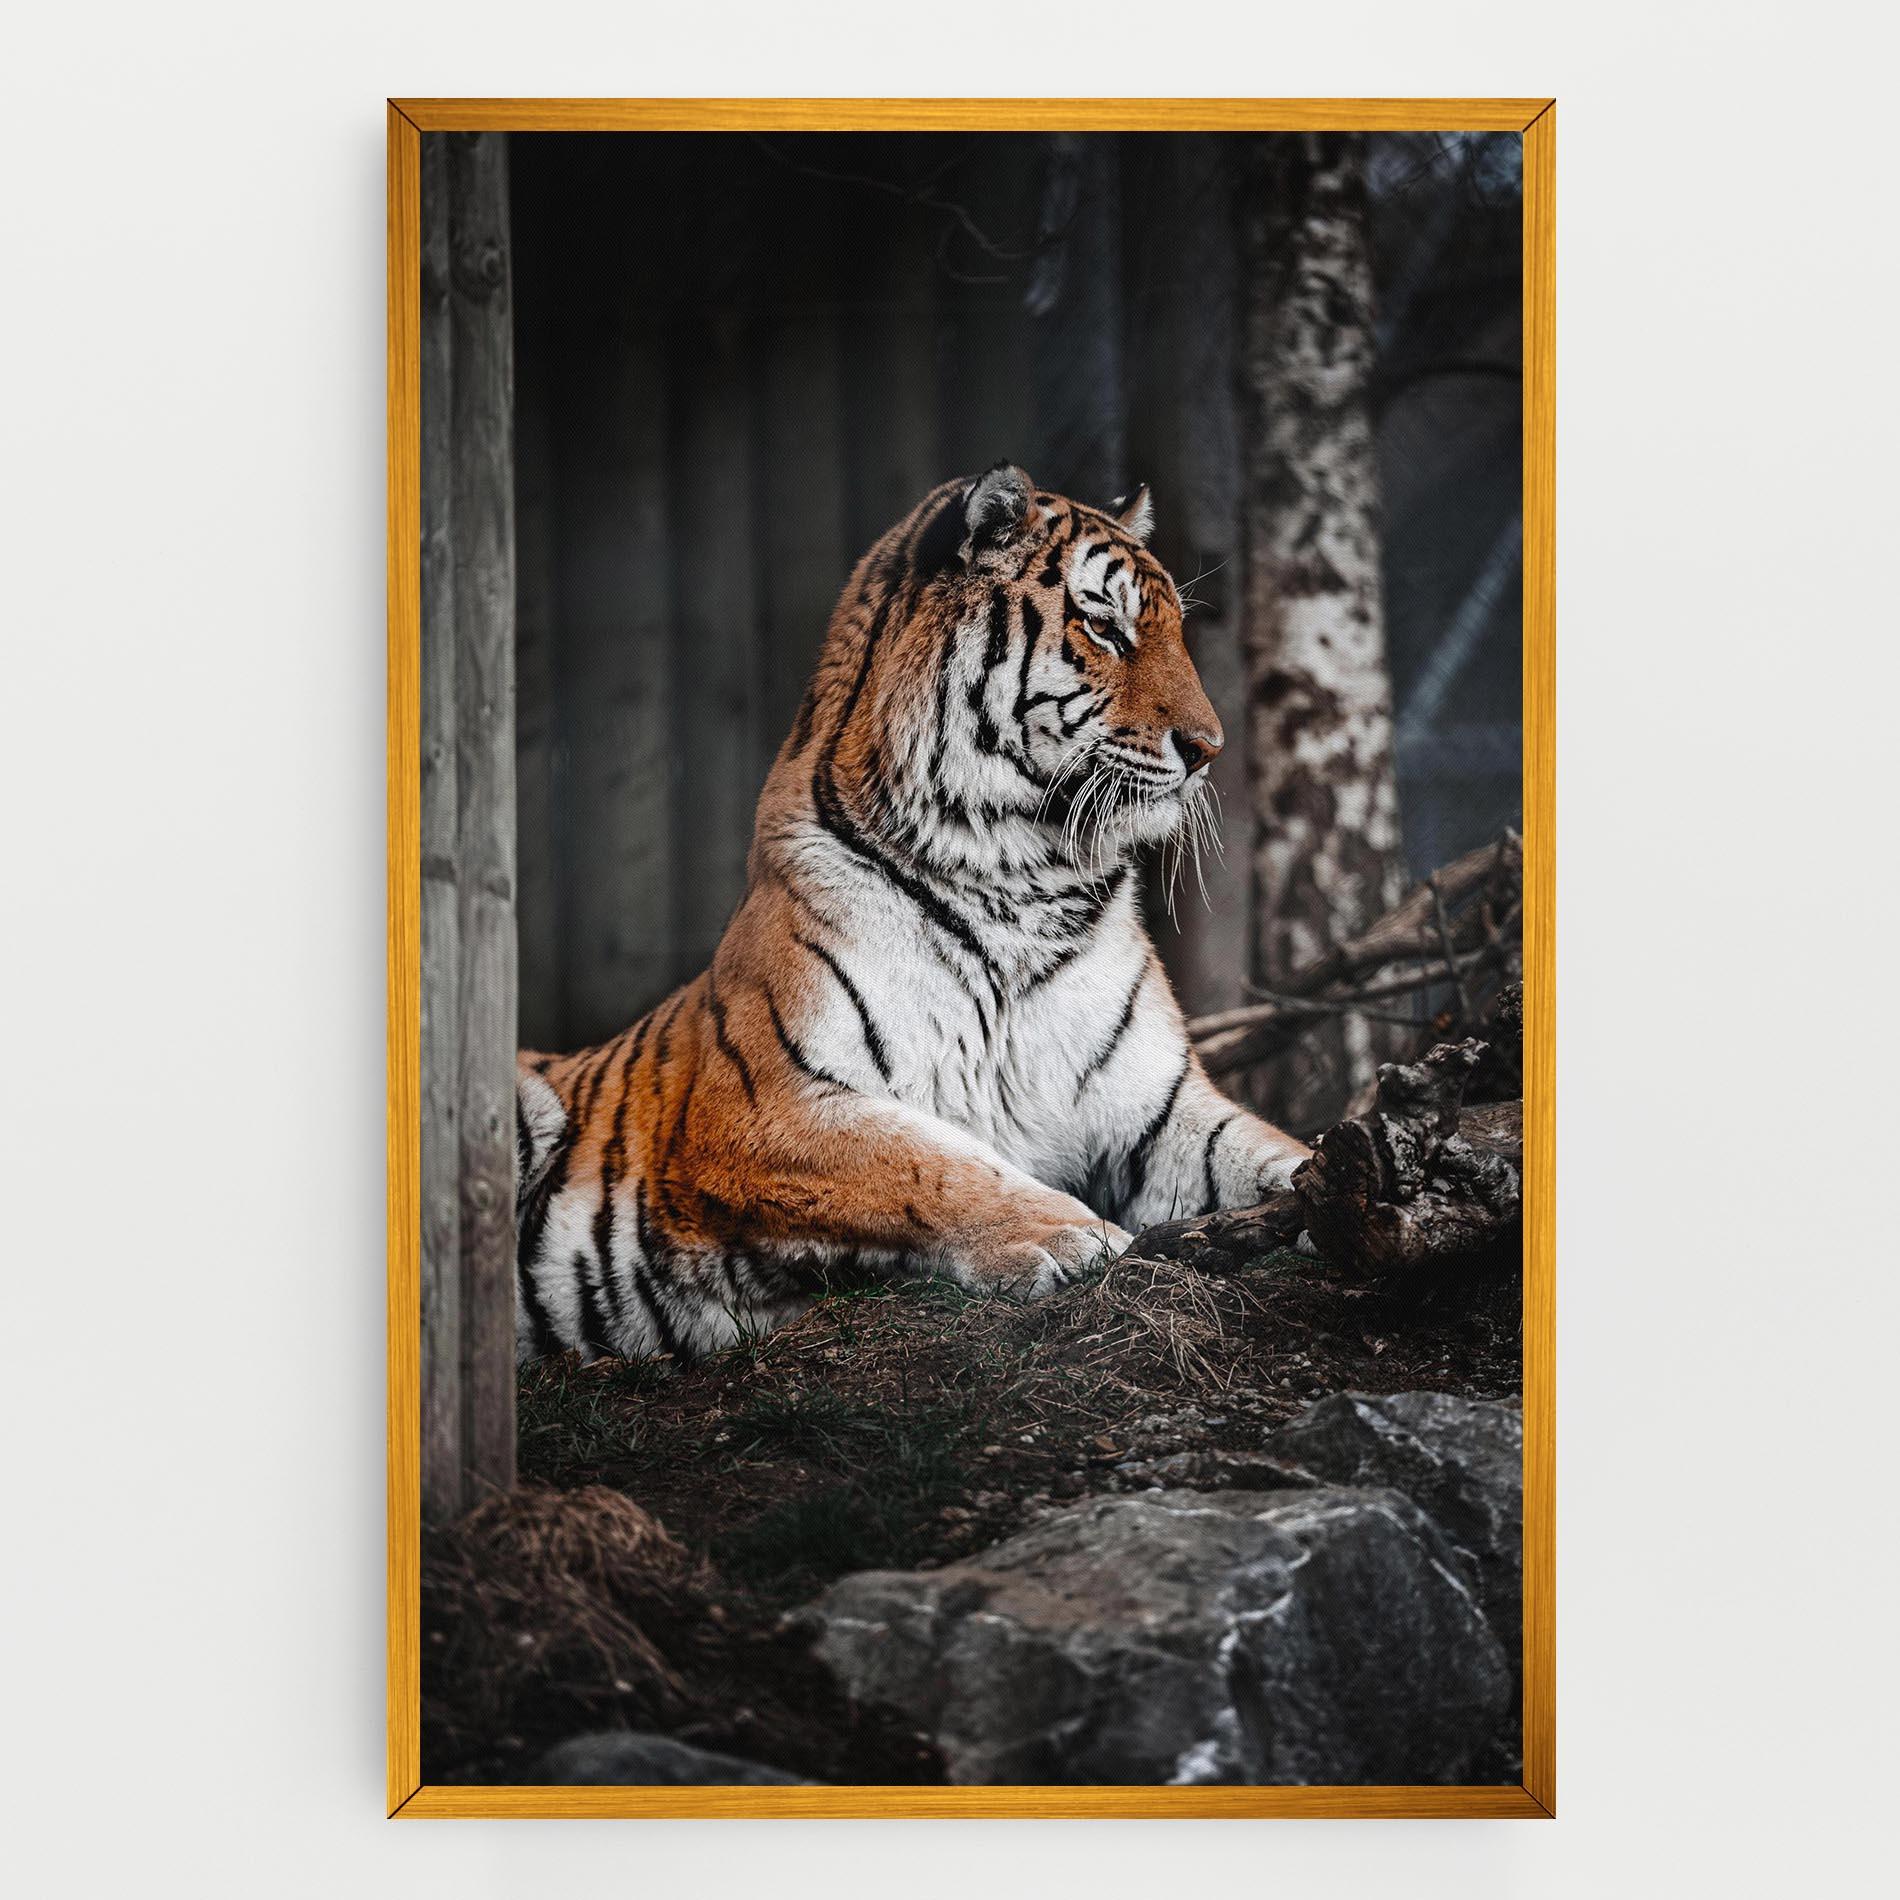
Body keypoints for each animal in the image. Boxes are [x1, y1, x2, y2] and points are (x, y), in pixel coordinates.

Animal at [513, 464, 1310, 1364]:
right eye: (1104, 626)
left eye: (1174, 628)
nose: (1209, 750)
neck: (1024, 878)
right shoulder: (759, 1107)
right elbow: (928, 1163)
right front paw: (1068, 1235)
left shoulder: (1158, 1111)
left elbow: (1270, 1150)